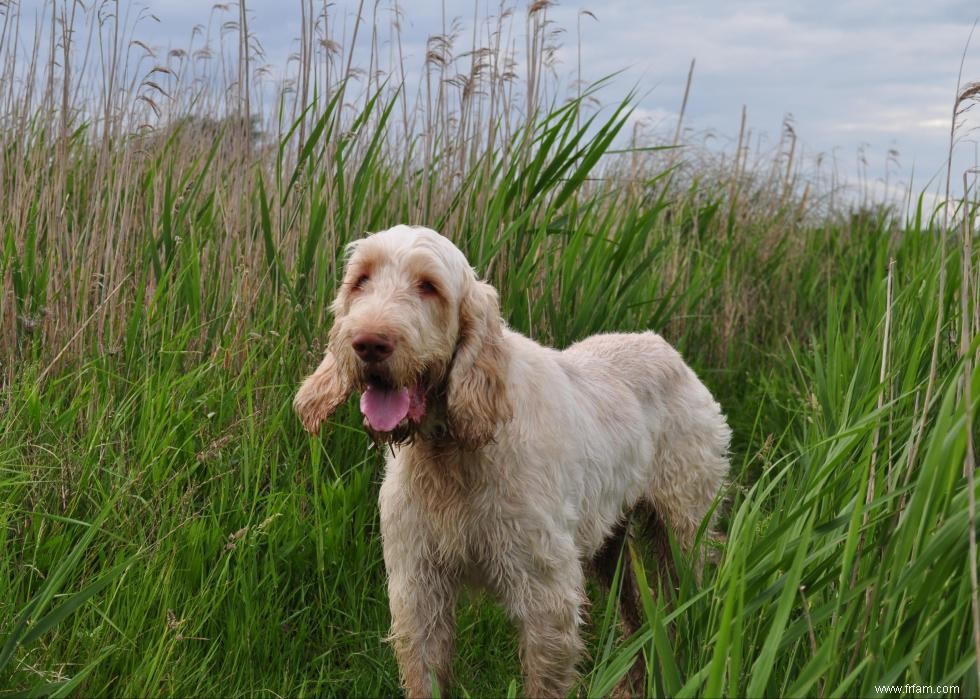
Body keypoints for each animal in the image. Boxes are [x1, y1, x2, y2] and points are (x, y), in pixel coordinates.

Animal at [294, 227, 732, 696]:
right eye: (361, 279)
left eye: (428, 286)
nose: (369, 343)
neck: (451, 453)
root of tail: (666, 348)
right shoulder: (419, 589)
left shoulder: (546, 594)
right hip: (609, 547)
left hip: (685, 533)